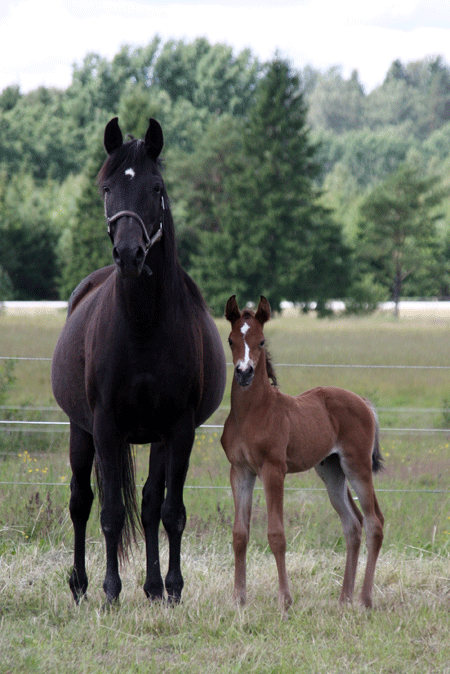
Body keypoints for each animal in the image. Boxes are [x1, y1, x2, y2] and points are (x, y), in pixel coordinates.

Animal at [52, 117, 227, 604]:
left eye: (156, 187)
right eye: (107, 187)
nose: (129, 255)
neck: (144, 328)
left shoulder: (179, 429)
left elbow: (169, 510)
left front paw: (171, 587)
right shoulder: (106, 426)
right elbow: (111, 511)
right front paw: (111, 591)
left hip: (157, 438)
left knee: (149, 505)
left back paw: (150, 586)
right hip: (81, 431)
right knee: (81, 501)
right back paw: (80, 584)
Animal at [221, 294, 384, 608]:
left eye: (261, 341)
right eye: (231, 340)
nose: (244, 373)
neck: (252, 413)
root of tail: (364, 403)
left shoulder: (274, 470)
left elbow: (276, 534)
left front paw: (285, 600)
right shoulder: (240, 470)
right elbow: (239, 534)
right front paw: (238, 598)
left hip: (357, 466)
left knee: (374, 523)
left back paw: (365, 599)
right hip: (331, 471)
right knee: (353, 525)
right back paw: (344, 598)